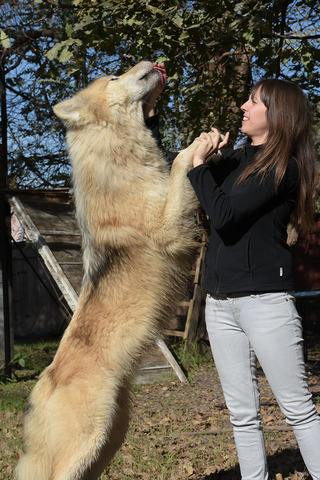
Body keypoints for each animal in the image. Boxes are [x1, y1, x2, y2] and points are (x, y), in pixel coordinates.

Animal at [15, 61, 215, 480]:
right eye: (112, 77)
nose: (151, 61)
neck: (122, 159)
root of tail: (40, 390)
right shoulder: (168, 230)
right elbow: (179, 164)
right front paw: (200, 144)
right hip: (88, 443)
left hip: (108, 440)